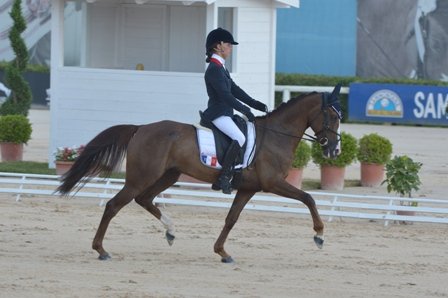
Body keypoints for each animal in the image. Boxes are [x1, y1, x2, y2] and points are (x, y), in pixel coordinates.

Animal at [57, 84, 342, 264]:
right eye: (331, 116)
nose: (335, 150)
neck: (276, 135)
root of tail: (141, 128)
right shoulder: (273, 183)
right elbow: (308, 198)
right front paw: (319, 235)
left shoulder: (248, 188)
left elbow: (231, 219)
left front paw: (222, 252)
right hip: (142, 177)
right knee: (114, 205)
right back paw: (101, 250)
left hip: (168, 175)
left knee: (144, 199)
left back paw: (170, 230)